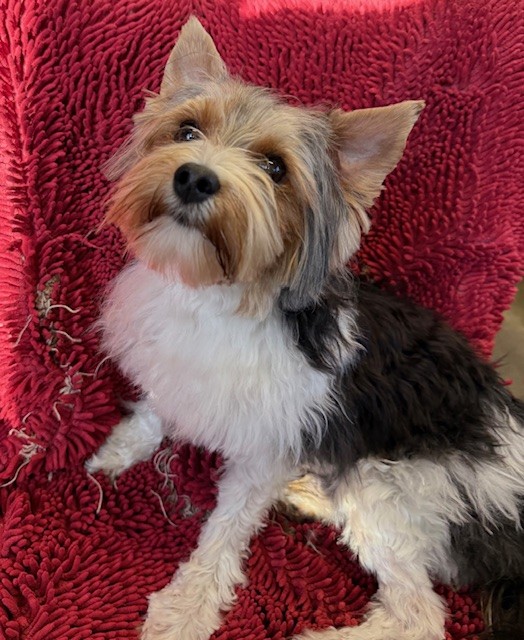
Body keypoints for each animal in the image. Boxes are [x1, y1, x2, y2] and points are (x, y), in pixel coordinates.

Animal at [86, 17, 524, 640]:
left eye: (275, 168)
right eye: (187, 130)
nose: (194, 176)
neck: (218, 295)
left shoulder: (267, 445)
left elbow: (226, 528)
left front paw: (186, 607)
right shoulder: (169, 364)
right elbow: (154, 409)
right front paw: (118, 450)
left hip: (389, 486)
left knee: (417, 611)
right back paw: (309, 492)